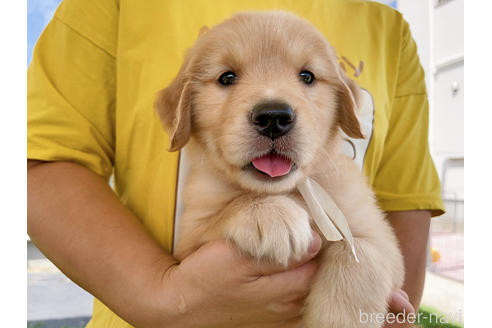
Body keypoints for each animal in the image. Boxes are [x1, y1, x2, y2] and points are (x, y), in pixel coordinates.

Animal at [157, 10, 404, 328]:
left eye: (307, 76)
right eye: (227, 77)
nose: (273, 117)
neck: (291, 190)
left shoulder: (383, 240)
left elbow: (359, 251)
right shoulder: (187, 247)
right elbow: (226, 212)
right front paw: (270, 214)